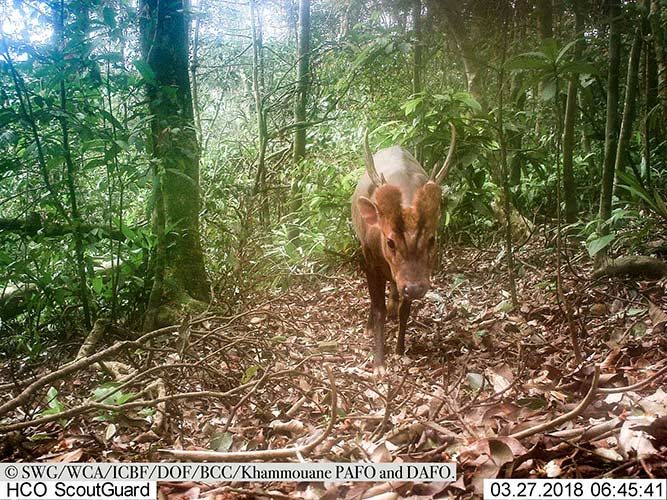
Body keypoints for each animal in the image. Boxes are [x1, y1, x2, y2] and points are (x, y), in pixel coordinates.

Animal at [352, 127, 456, 370]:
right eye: (390, 241)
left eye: (432, 239)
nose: (415, 289)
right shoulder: (368, 258)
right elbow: (377, 308)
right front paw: (379, 362)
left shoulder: (408, 277)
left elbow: (404, 310)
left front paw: (400, 350)